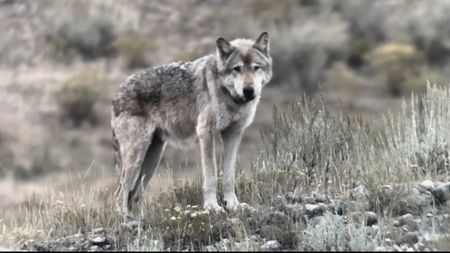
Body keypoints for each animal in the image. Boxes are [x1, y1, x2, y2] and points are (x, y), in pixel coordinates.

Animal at [111, 31, 274, 217]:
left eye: (256, 67)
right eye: (237, 68)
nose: (248, 90)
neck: (228, 94)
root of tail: (116, 95)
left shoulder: (233, 134)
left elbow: (229, 176)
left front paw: (233, 205)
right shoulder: (206, 132)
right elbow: (211, 175)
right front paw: (212, 207)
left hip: (153, 157)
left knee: (135, 193)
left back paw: (138, 220)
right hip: (136, 156)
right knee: (120, 192)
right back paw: (124, 219)